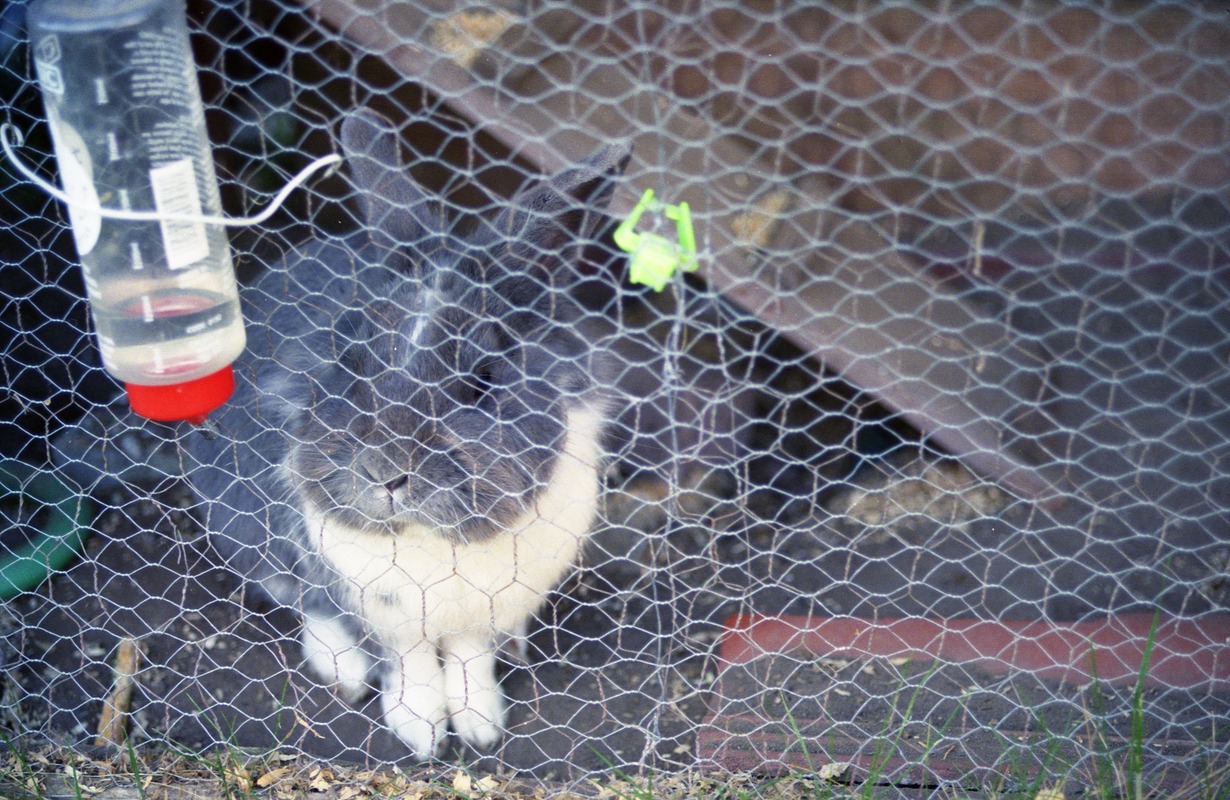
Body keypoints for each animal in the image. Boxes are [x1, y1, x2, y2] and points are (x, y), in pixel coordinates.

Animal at [187, 109, 629, 759]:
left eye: (483, 379)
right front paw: (422, 732)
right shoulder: (381, 604)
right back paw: (342, 672)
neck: (432, 539)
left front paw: (480, 724)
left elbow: (470, 656)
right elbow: (408, 661)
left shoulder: (485, 605)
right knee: (301, 599)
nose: (385, 472)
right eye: (347, 358)